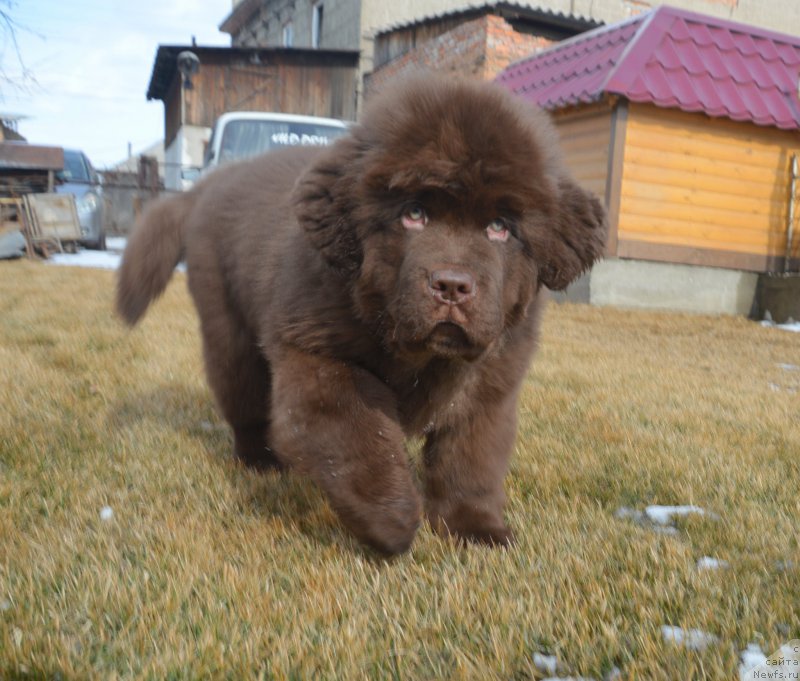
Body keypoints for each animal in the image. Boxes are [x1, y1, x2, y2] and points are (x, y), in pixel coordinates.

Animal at [117, 73, 608, 552]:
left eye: (500, 227)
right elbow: (361, 438)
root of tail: (213, 182)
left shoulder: (490, 383)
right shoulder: (318, 358)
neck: (418, 353)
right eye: (414, 213)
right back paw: (260, 461)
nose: (452, 285)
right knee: (244, 400)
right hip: (230, 331)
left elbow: (471, 458)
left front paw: (475, 528)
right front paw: (392, 520)